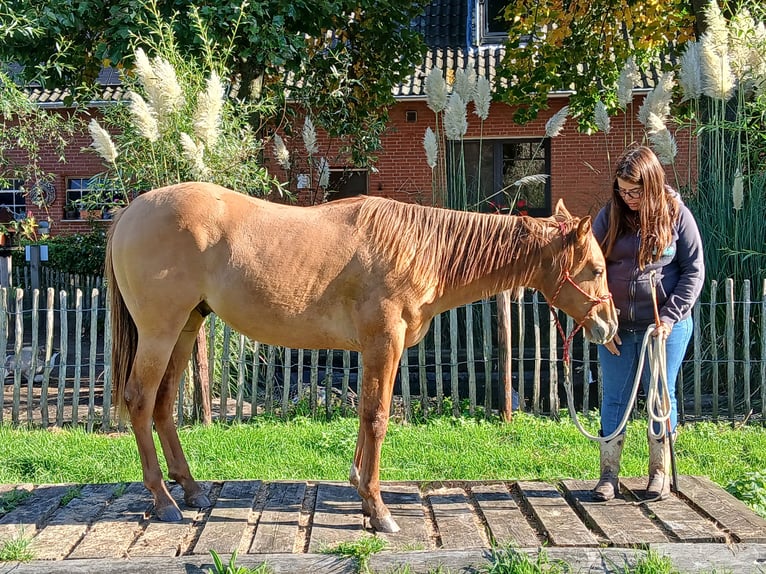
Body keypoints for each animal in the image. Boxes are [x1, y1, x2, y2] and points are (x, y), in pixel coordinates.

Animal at [105, 181, 620, 536]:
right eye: (595, 269)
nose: (610, 326)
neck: (417, 246)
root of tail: (131, 211)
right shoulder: (382, 344)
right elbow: (376, 418)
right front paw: (378, 510)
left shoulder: (378, 351)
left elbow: (365, 417)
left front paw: (360, 490)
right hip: (160, 332)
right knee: (139, 401)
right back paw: (163, 500)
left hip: (185, 329)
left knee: (163, 406)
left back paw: (190, 489)